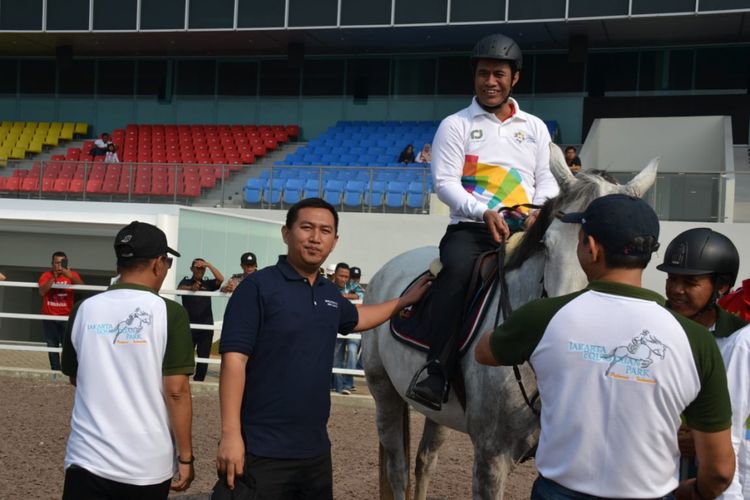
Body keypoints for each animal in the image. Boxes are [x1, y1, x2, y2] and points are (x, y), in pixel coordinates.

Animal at [362, 143, 660, 498]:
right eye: (547, 243)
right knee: (398, 469)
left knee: (425, 461)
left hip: (438, 412)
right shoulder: (492, 454)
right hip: (384, 391)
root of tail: (387, 270)